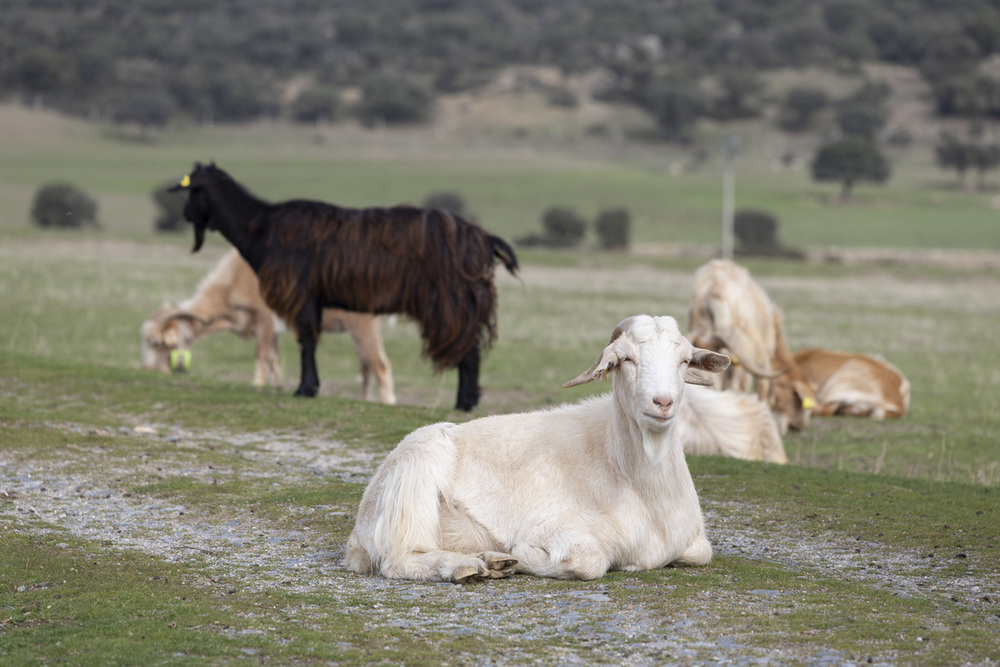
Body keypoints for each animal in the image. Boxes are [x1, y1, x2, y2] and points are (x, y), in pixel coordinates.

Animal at [140, 248, 394, 404]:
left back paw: (387, 402)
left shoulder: (264, 318)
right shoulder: (272, 331)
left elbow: (261, 353)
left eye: (158, 343)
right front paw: (278, 385)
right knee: (366, 366)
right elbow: (273, 357)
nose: (148, 369)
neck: (233, 280)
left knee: (380, 365)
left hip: (362, 325)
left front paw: (258, 384)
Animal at [173, 163, 520, 412]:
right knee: (470, 350)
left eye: (192, 192)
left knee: (468, 351)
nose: (185, 214)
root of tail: (484, 238)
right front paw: (309, 387)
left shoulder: (302, 293)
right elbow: (307, 342)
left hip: (452, 303)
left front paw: (305, 389)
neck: (261, 227)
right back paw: (467, 401)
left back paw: (463, 404)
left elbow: (307, 341)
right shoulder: (310, 298)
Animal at [344, 316, 728, 580]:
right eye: (626, 360)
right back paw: (468, 567)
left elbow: (702, 552)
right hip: (416, 481)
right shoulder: (556, 527)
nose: (662, 402)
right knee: (400, 559)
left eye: (684, 361)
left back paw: (491, 561)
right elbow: (588, 562)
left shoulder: (692, 541)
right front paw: (522, 553)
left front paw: (506, 558)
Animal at [684, 258, 816, 436]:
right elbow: (762, 387)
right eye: (802, 404)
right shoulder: (761, 358)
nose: (802, 425)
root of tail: (713, 292)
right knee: (738, 389)